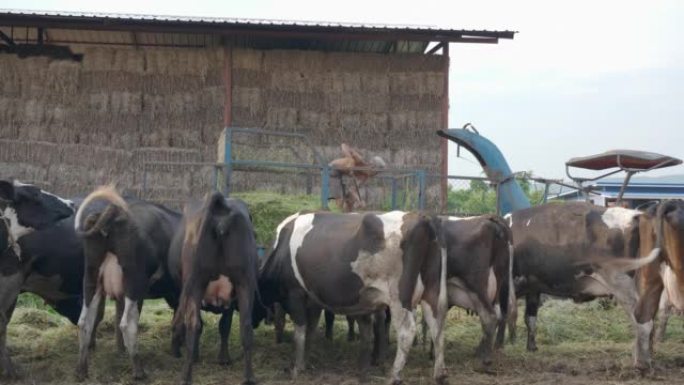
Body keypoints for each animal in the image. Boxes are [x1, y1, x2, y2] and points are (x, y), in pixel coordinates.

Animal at [74, 184, 180, 380]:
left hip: (91, 278)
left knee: (85, 322)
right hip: (134, 283)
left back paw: (81, 370)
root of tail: (112, 211)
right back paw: (139, 370)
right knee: (127, 324)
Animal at [168, 194, 260, 384]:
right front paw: (223, 358)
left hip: (196, 284)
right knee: (245, 326)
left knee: (193, 325)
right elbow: (225, 326)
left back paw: (186, 376)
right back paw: (249, 377)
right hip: (244, 282)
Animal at [256, 212, 448, 382]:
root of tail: (422, 219)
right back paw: (439, 374)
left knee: (407, 332)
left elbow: (300, 333)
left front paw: (296, 368)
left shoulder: (295, 294)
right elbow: (310, 330)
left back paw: (395, 376)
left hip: (399, 298)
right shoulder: (314, 301)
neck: (280, 249)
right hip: (432, 294)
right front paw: (305, 363)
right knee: (437, 327)